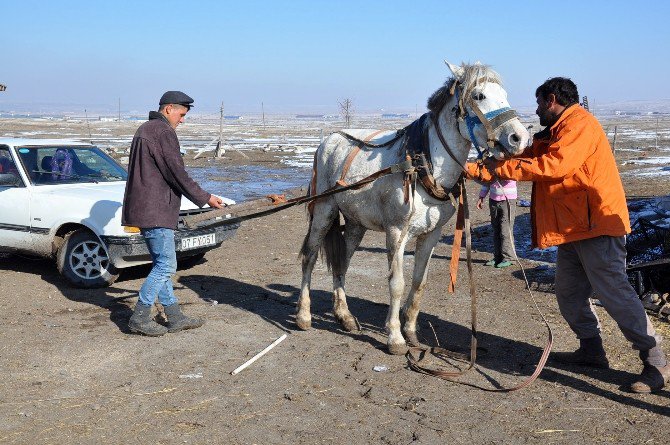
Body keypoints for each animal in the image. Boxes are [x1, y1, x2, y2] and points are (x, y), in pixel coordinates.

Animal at [300, 61, 532, 354]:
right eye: (479, 95)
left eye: (504, 94)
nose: (519, 137)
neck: (423, 165)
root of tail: (328, 141)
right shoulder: (396, 232)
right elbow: (397, 284)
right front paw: (395, 337)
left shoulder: (431, 234)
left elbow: (419, 281)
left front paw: (410, 330)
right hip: (324, 211)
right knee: (309, 257)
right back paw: (303, 316)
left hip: (355, 223)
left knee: (342, 262)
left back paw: (345, 316)